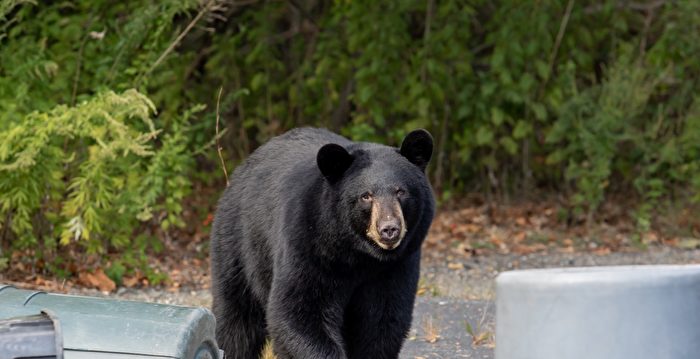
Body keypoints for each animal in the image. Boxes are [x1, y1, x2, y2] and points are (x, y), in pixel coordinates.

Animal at [211, 128, 434, 358]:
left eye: (401, 191)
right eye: (366, 196)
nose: (389, 229)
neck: (358, 254)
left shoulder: (395, 266)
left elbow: (382, 321)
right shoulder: (308, 246)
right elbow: (298, 312)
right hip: (240, 245)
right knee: (237, 321)